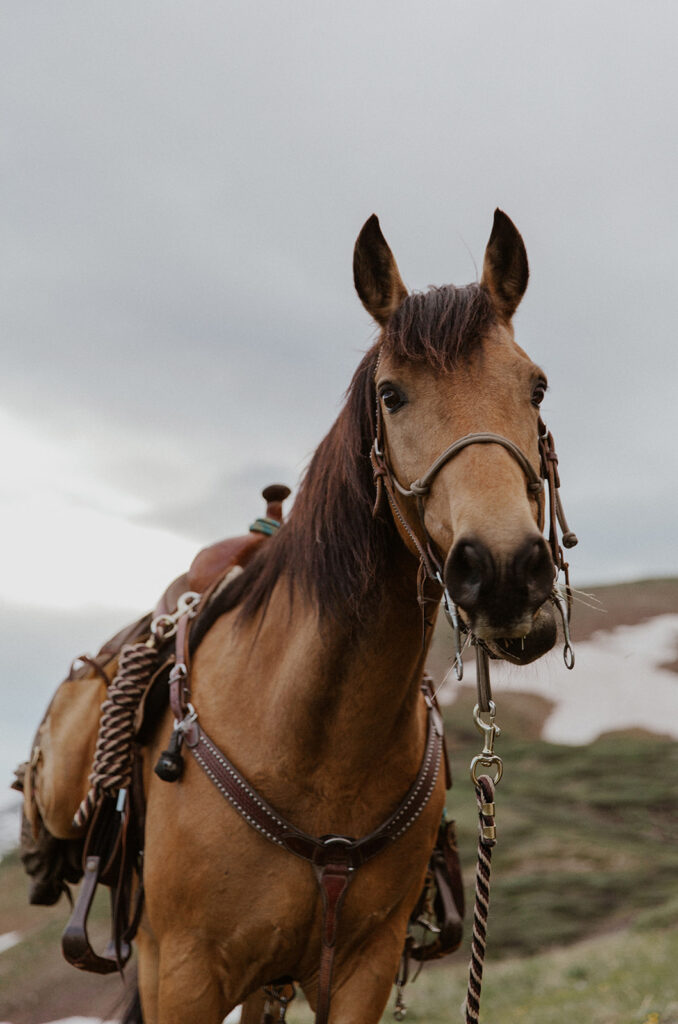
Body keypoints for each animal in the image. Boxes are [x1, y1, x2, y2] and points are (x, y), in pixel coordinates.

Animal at [130, 209, 561, 1024]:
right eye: (391, 395)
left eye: (538, 387)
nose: (504, 572)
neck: (316, 745)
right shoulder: (186, 974)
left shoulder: (367, 964)